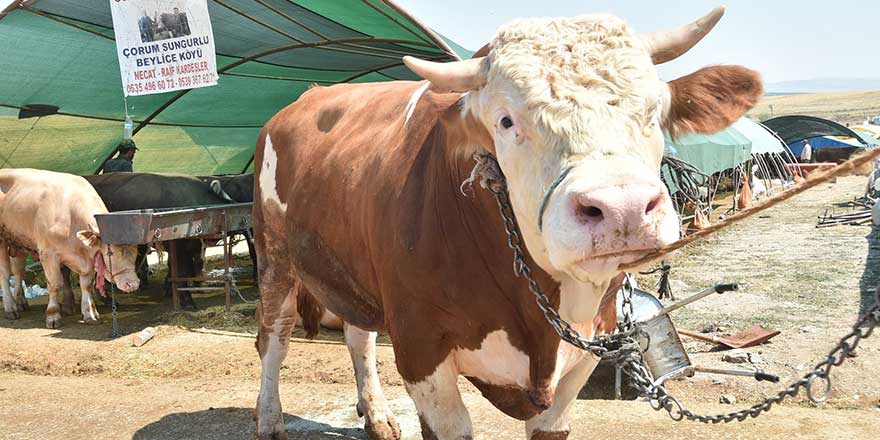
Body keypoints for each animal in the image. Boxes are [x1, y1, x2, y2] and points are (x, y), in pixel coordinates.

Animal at [0, 168, 140, 326]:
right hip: (2, 241)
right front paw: (53, 315)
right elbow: (55, 284)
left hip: (18, 243)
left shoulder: (89, 256)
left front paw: (90, 314)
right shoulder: (48, 254)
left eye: (136, 252)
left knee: (18, 272)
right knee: (4, 274)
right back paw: (10, 307)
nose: (133, 284)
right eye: (110, 253)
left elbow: (86, 285)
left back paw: (20, 302)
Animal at [251, 6, 760, 440]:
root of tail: (304, 99)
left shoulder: (585, 354)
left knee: (359, 335)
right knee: (274, 339)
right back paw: (269, 420)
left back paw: (376, 417)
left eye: (655, 110)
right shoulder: (420, 348)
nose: (624, 209)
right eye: (506, 121)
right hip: (274, 256)